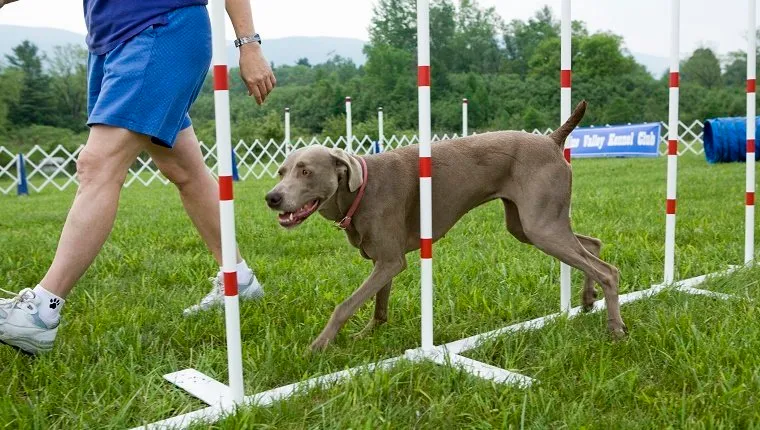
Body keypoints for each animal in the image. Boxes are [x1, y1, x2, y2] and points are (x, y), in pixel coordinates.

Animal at [264, 101, 628, 352]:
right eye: (281, 171)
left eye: (306, 171)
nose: (271, 197)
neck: (360, 189)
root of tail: (552, 140)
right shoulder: (383, 260)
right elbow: (379, 305)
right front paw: (368, 335)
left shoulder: (391, 261)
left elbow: (345, 305)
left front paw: (319, 345)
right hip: (528, 224)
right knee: (593, 245)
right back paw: (587, 299)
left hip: (541, 226)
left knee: (608, 271)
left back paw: (615, 329)